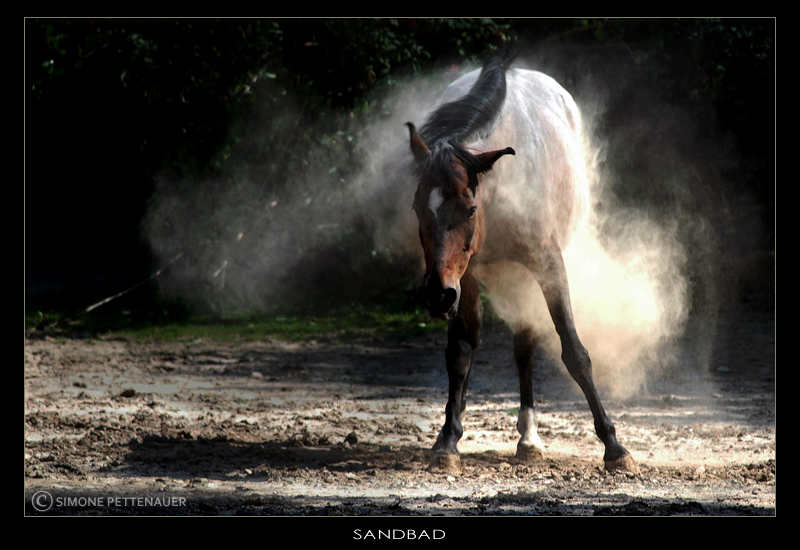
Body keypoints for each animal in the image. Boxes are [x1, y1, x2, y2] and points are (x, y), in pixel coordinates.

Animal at [406, 48, 636, 478]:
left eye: (470, 209)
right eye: (417, 208)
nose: (437, 295)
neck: (501, 188)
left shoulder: (548, 265)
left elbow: (574, 353)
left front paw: (614, 447)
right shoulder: (466, 277)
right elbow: (460, 351)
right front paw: (447, 441)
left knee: (526, 342)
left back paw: (529, 439)